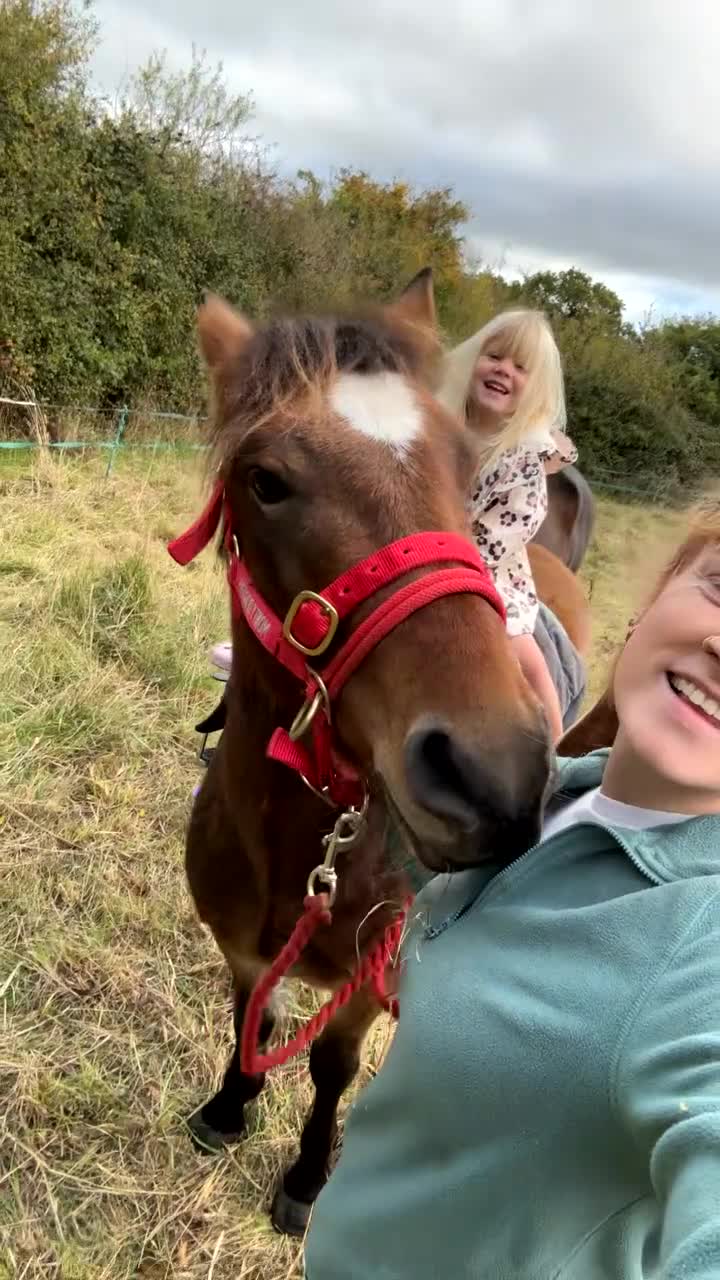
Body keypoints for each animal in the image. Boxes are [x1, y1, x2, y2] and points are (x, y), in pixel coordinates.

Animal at [170, 271, 588, 1237]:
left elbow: (331, 1066)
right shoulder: (241, 946)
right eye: (265, 481)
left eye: (464, 472)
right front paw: (230, 1107)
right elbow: (250, 1015)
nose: (489, 772)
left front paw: (305, 1181)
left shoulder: (366, 980)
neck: (296, 845)